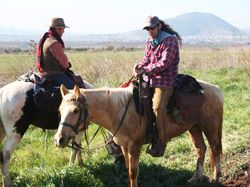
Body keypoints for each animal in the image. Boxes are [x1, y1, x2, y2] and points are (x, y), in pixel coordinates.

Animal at [54, 82, 223, 187]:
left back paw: (216, 177)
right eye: (59, 110)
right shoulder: (124, 146)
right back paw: (195, 178)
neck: (119, 110)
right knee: (201, 149)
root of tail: (215, 89)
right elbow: (129, 168)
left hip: (210, 126)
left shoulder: (134, 146)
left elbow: (133, 172)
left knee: (215, 148)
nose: (58, 140)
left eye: (75, 110)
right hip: (194, 127)